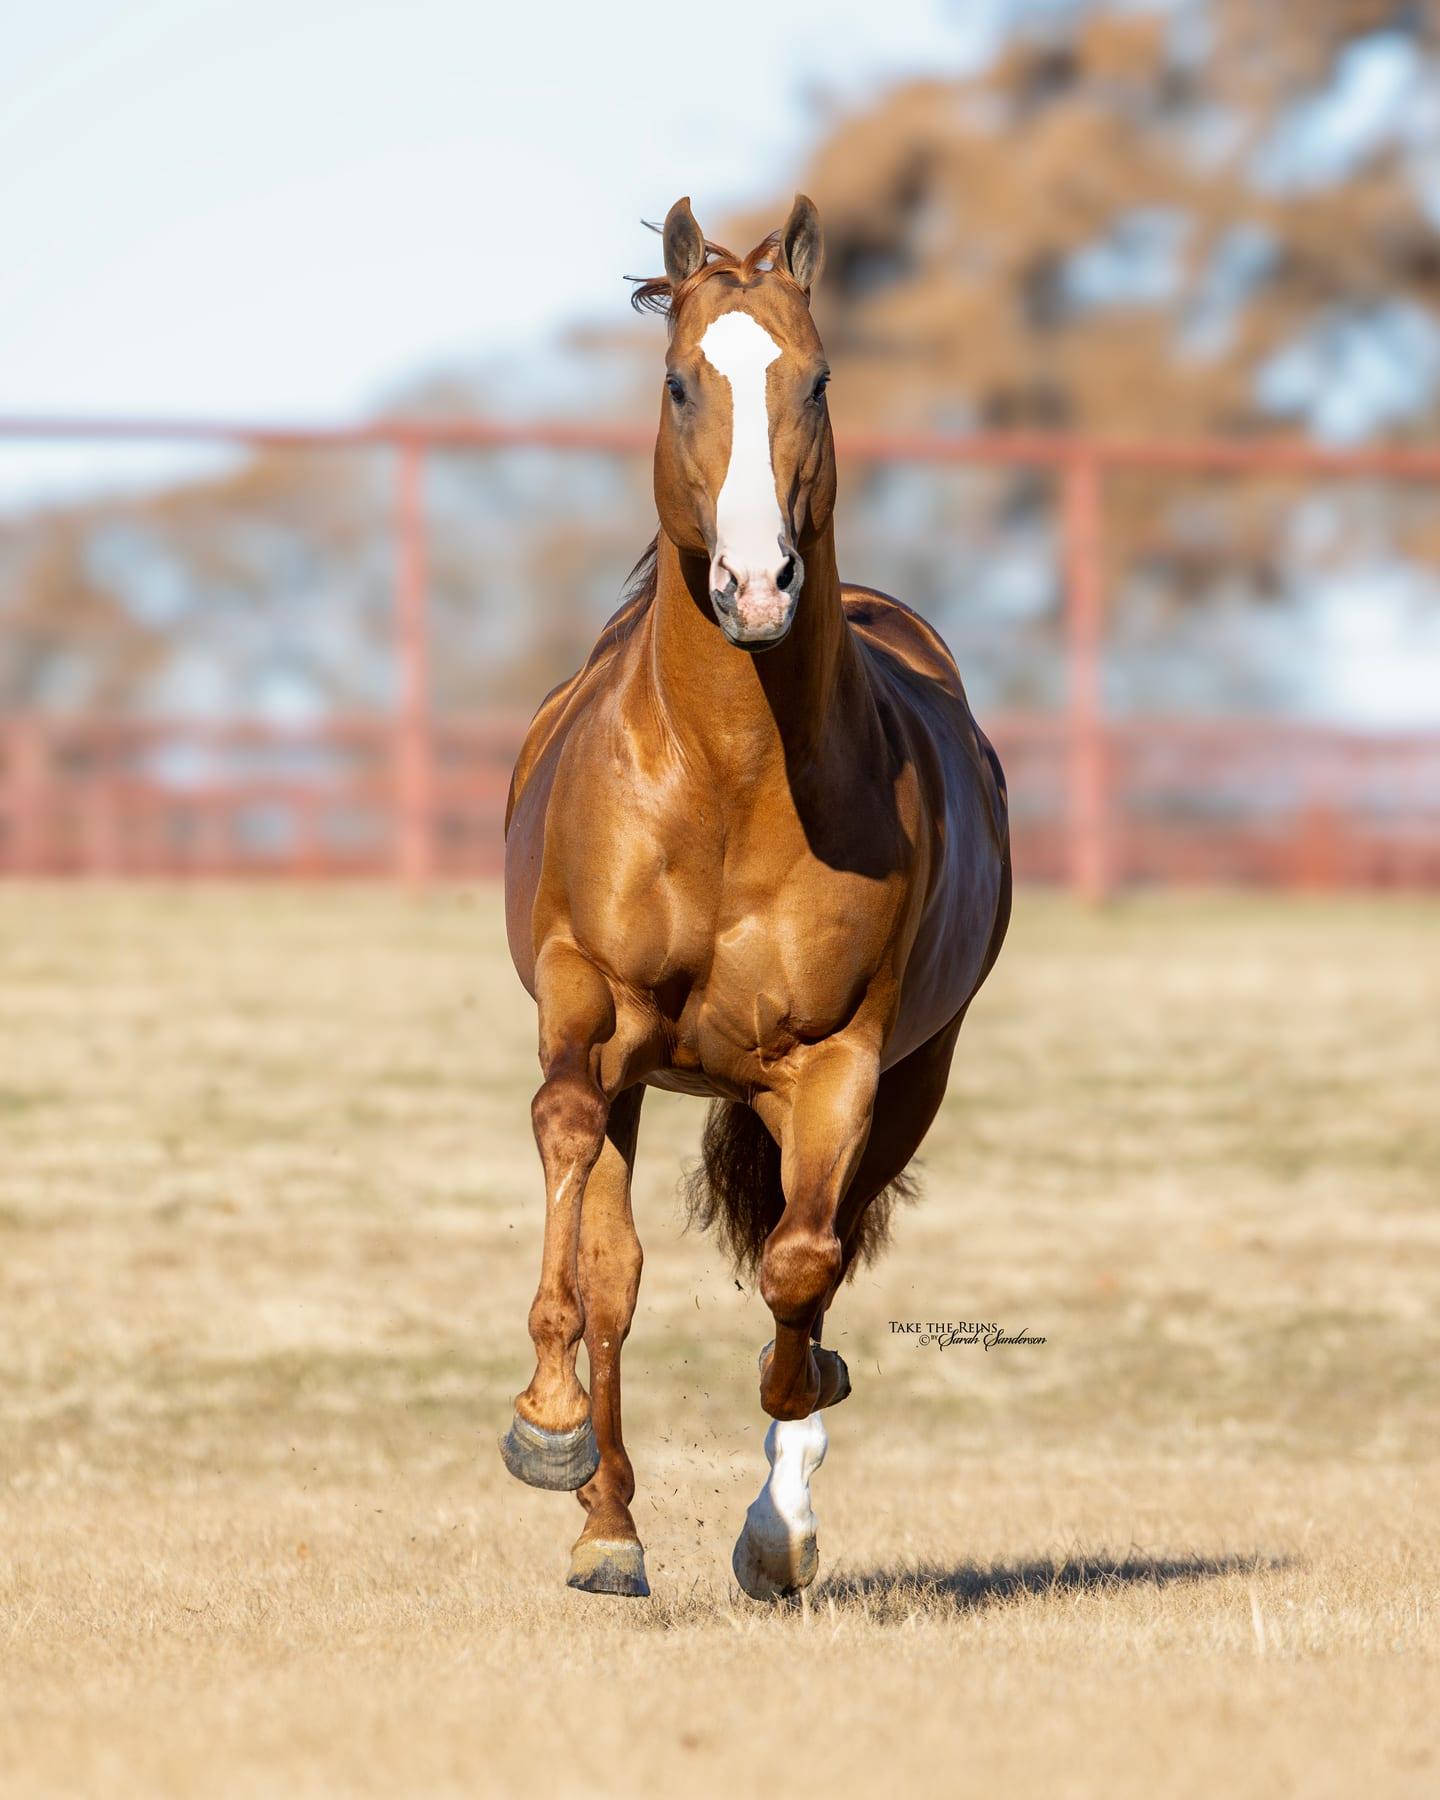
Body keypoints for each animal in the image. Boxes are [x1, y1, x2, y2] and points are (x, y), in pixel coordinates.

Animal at [500, 194, 1010, 1601]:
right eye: (680, 382)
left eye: (819, 379)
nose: (759, 586)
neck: (728, 775)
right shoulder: (587, 1001)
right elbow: (573, 1167)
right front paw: (547, 1426)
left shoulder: (842, 1057)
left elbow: (799, 1264)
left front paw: (778, 1529)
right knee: (617, 1264)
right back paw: (607, 1528)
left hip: (911, 1077)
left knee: (811, 1256)